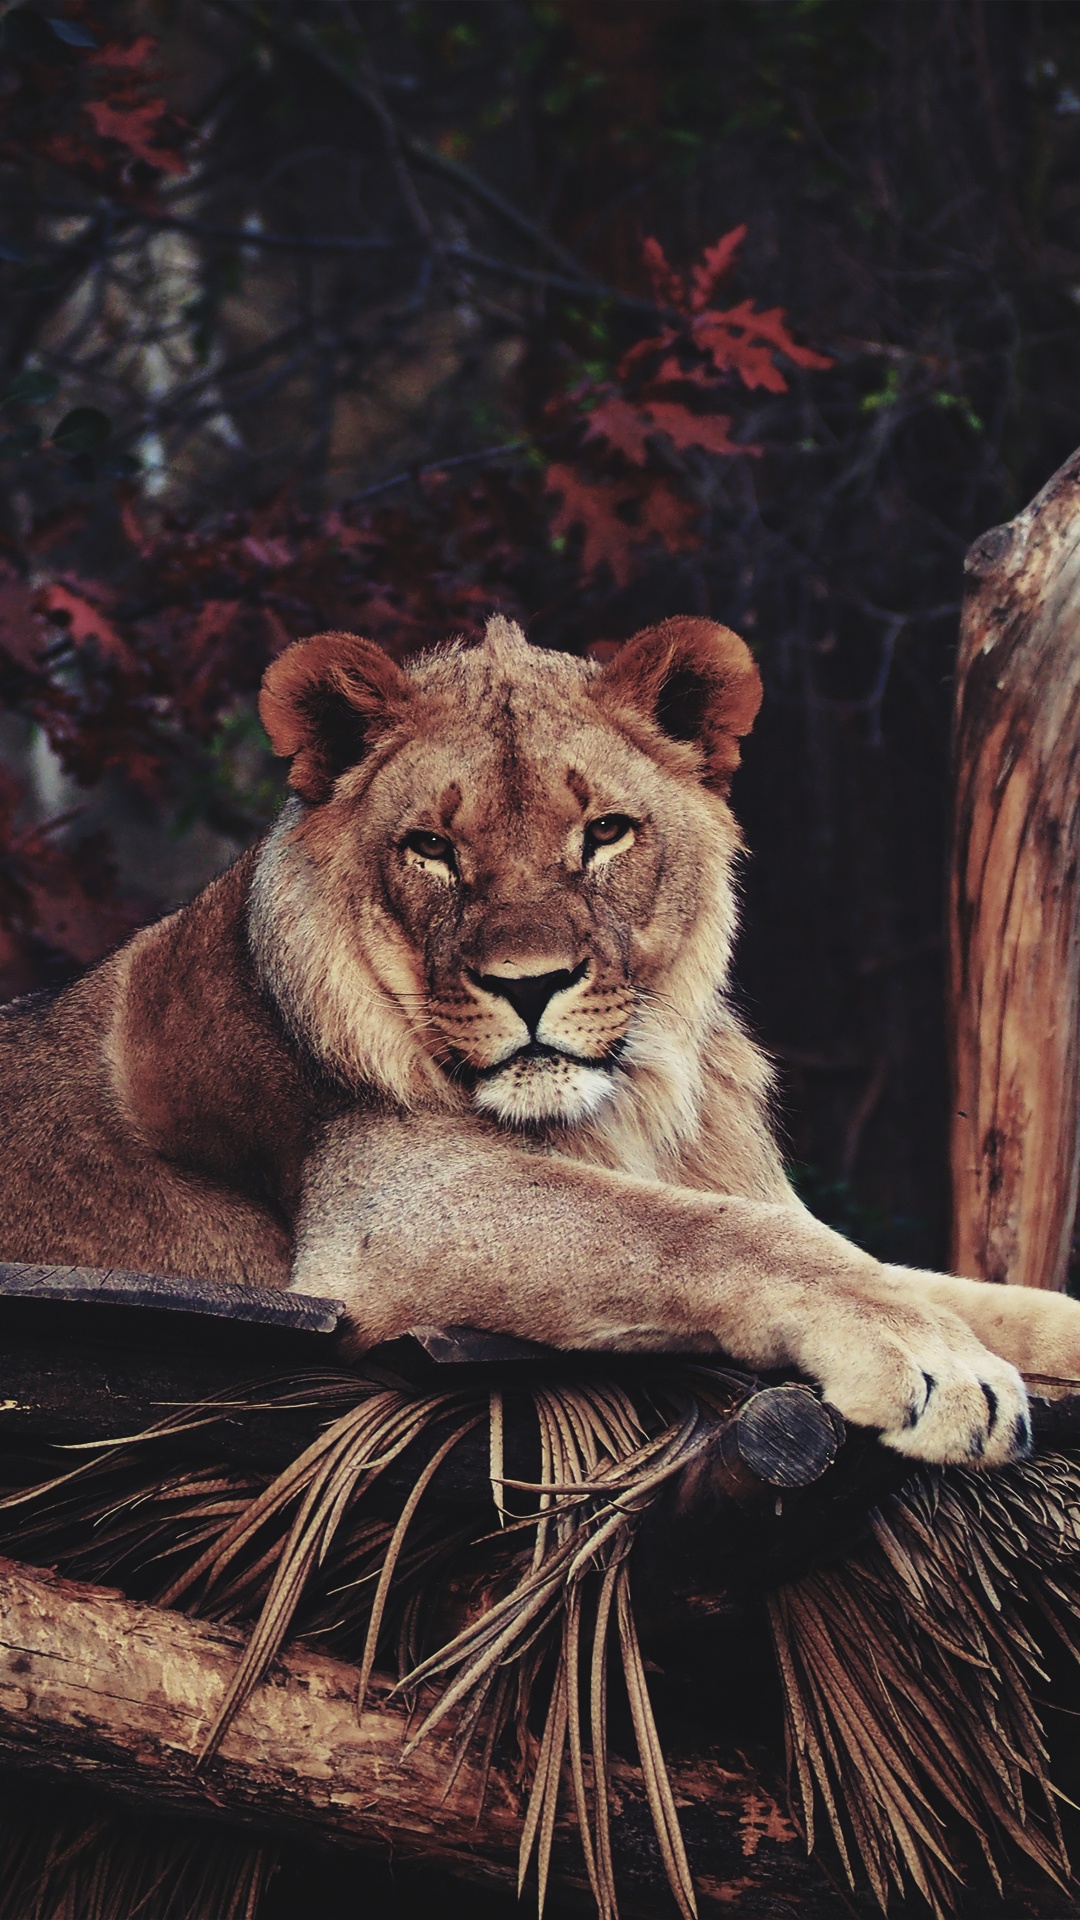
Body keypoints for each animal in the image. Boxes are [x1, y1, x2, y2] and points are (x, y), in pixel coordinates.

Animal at [2, 612, 1079, 1465]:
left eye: (604, 832)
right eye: (432, 849)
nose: (531, 986)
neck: (631, 1105)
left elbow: (947, 1283)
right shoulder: (387, 1217)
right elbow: (709, 1231)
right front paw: (940, 1367)